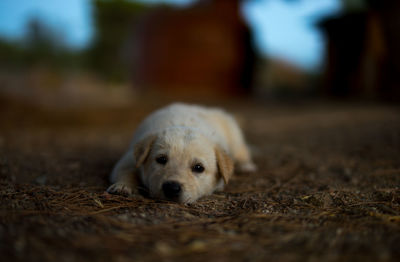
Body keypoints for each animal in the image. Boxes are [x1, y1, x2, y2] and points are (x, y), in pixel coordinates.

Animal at [107, 102, 256, 203]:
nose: (172, 188)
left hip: (234, 136)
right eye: (161, 159)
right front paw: (123, 186)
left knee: (242, 151)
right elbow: (125, 171)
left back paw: (246, 166)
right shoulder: (130, 159)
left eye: (198, 168)